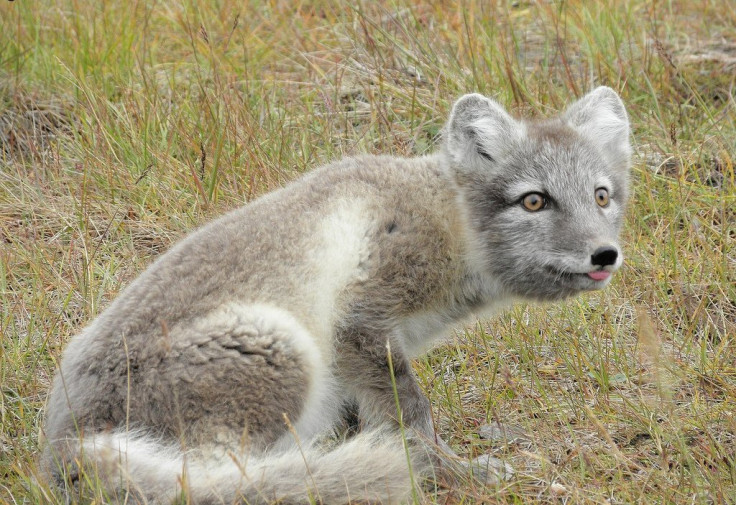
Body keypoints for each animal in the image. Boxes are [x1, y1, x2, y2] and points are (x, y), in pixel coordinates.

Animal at [40, 86, 628, 504]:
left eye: (601, 196)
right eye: (534, 201)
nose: (605, 255)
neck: (444, 219)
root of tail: (66, 445)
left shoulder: (359, 359)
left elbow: (371, 414)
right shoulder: (361, 321)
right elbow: (411, 417)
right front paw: (449, 474)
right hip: (281, 346)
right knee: (217, 480)